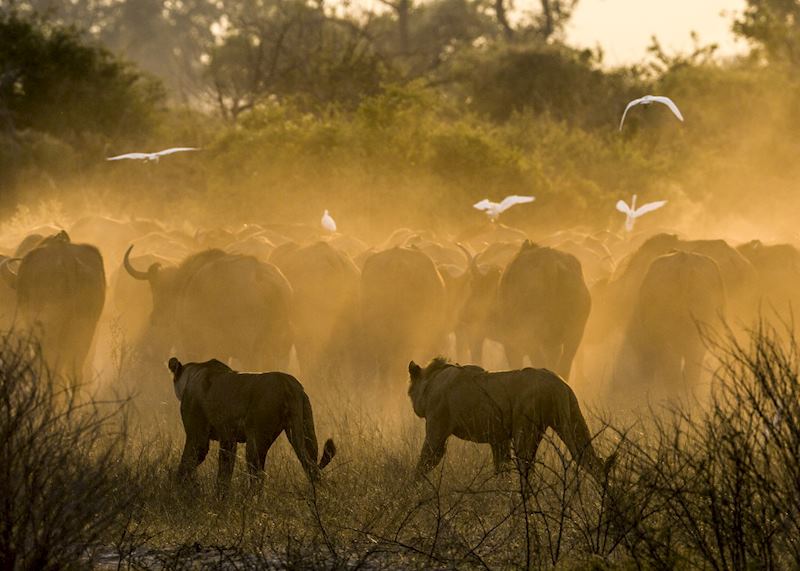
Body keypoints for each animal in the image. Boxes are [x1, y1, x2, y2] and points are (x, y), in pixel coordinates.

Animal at [168, 358, 336, 492]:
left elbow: (186, 463)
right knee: (311, 466)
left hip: (256, 438)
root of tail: (289, 384)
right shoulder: (228, 439)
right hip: (305, 431)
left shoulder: (197, 436)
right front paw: (220, 497)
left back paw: (249, 501)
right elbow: (224, 473)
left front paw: (178, 489)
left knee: (258, 476)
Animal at [408, 358, 612, 480]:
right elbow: (502, 470)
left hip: (525, 431)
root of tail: (558, 384)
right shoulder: (499, 439)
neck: (431, 381)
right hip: (572, 420)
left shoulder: (437, 430)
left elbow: (423, 463)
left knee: (527, 471)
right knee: (595, 462)